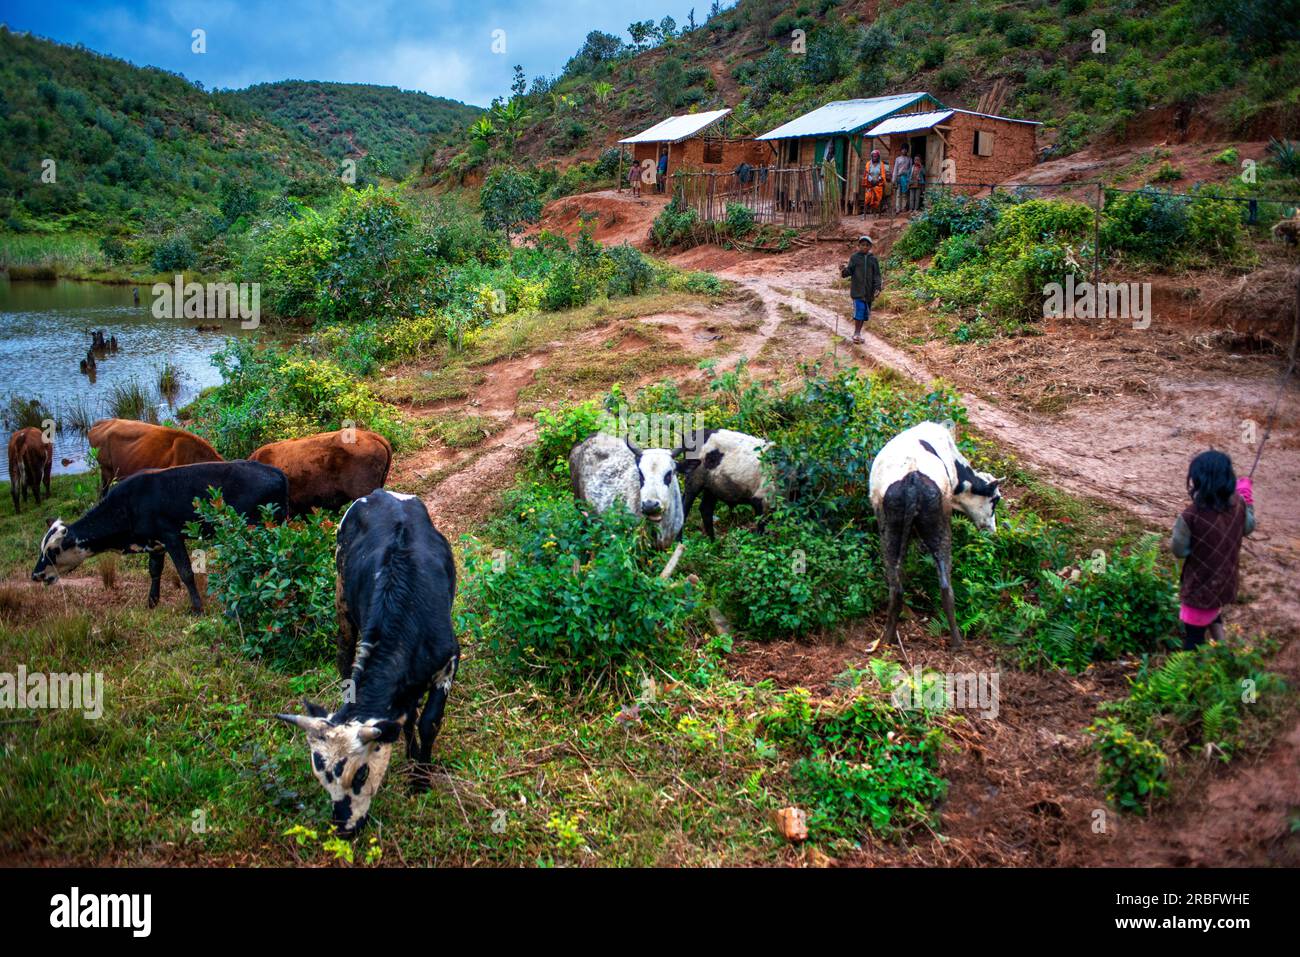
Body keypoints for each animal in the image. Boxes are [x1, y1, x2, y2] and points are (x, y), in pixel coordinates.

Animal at [32, 457, 287, 613]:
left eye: (53, 551)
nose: (35, 575)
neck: (127, 505)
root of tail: (276, 472)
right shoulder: (155, 543)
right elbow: (154, 571)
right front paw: (152, 601)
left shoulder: (172, 536)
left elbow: (186, 572)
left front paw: (197, 608)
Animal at [273, 488, 457, 832]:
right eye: (321, 778)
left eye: (360, 773)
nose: (343, 828)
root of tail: (380, 493)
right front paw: (412, 757)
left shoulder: (449, 661)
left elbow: (427, 722)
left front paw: (421, 779)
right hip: (341, 599)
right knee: (344, 655)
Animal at [868, 423, 998, 650]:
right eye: (995, 500)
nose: (992, 531)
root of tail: (912, 479)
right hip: (937, 524)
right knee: (946, 586)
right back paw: (957, 643)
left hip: (889, 527)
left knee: (896, 586)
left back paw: (886, 640)